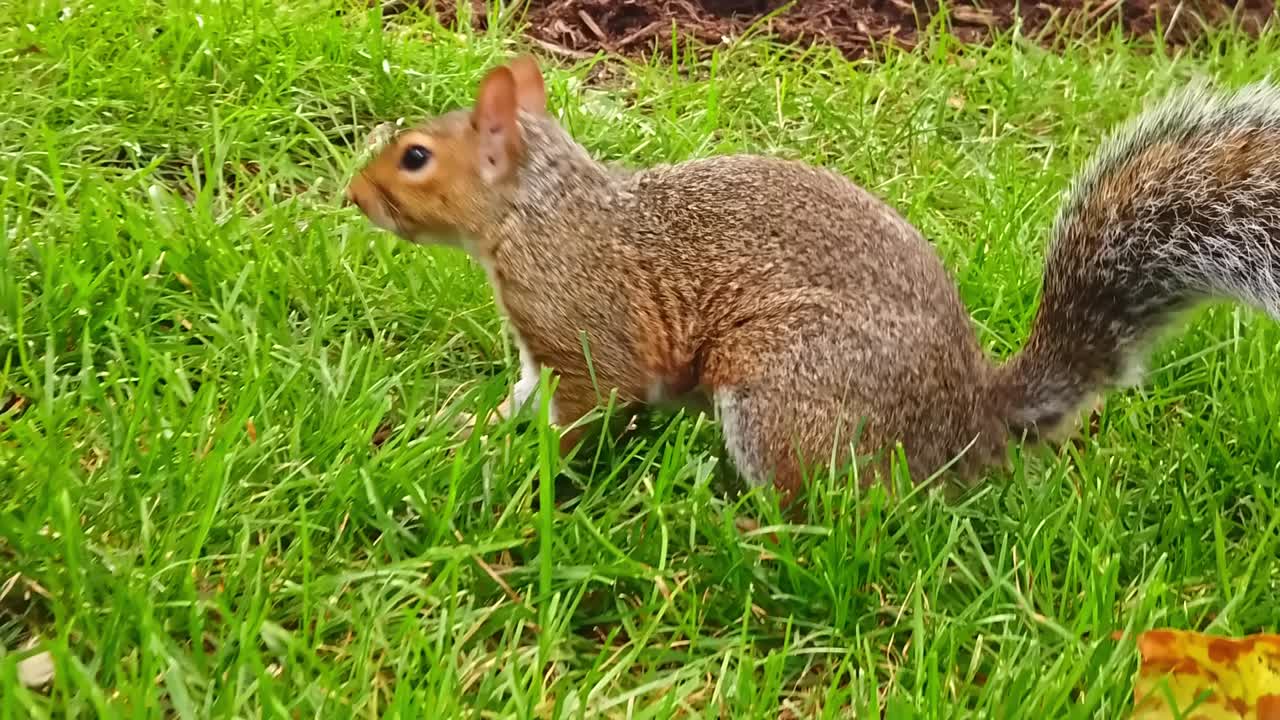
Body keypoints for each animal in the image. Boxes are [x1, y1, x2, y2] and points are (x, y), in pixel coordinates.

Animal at [346, 55, 1280, 498]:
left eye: (415, 156)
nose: (352, 196)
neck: (534, 210)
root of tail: (972, 417)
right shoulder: (537, 352)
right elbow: (519, 399)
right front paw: (465, 437)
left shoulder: (585, 331)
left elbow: (589, 408)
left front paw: (529, 474)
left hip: (782, 388)